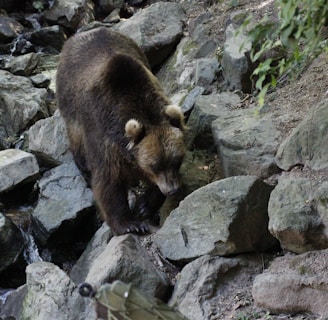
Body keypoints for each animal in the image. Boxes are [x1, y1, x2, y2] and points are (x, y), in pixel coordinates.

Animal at [56, 26, 187, 235]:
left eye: (176, 160)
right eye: (155, 165)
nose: (172, 189)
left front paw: (145, 205)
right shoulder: (102, 133)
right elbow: (108, 180)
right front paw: (131, 223)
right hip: (69, 102)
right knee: (76, 139)